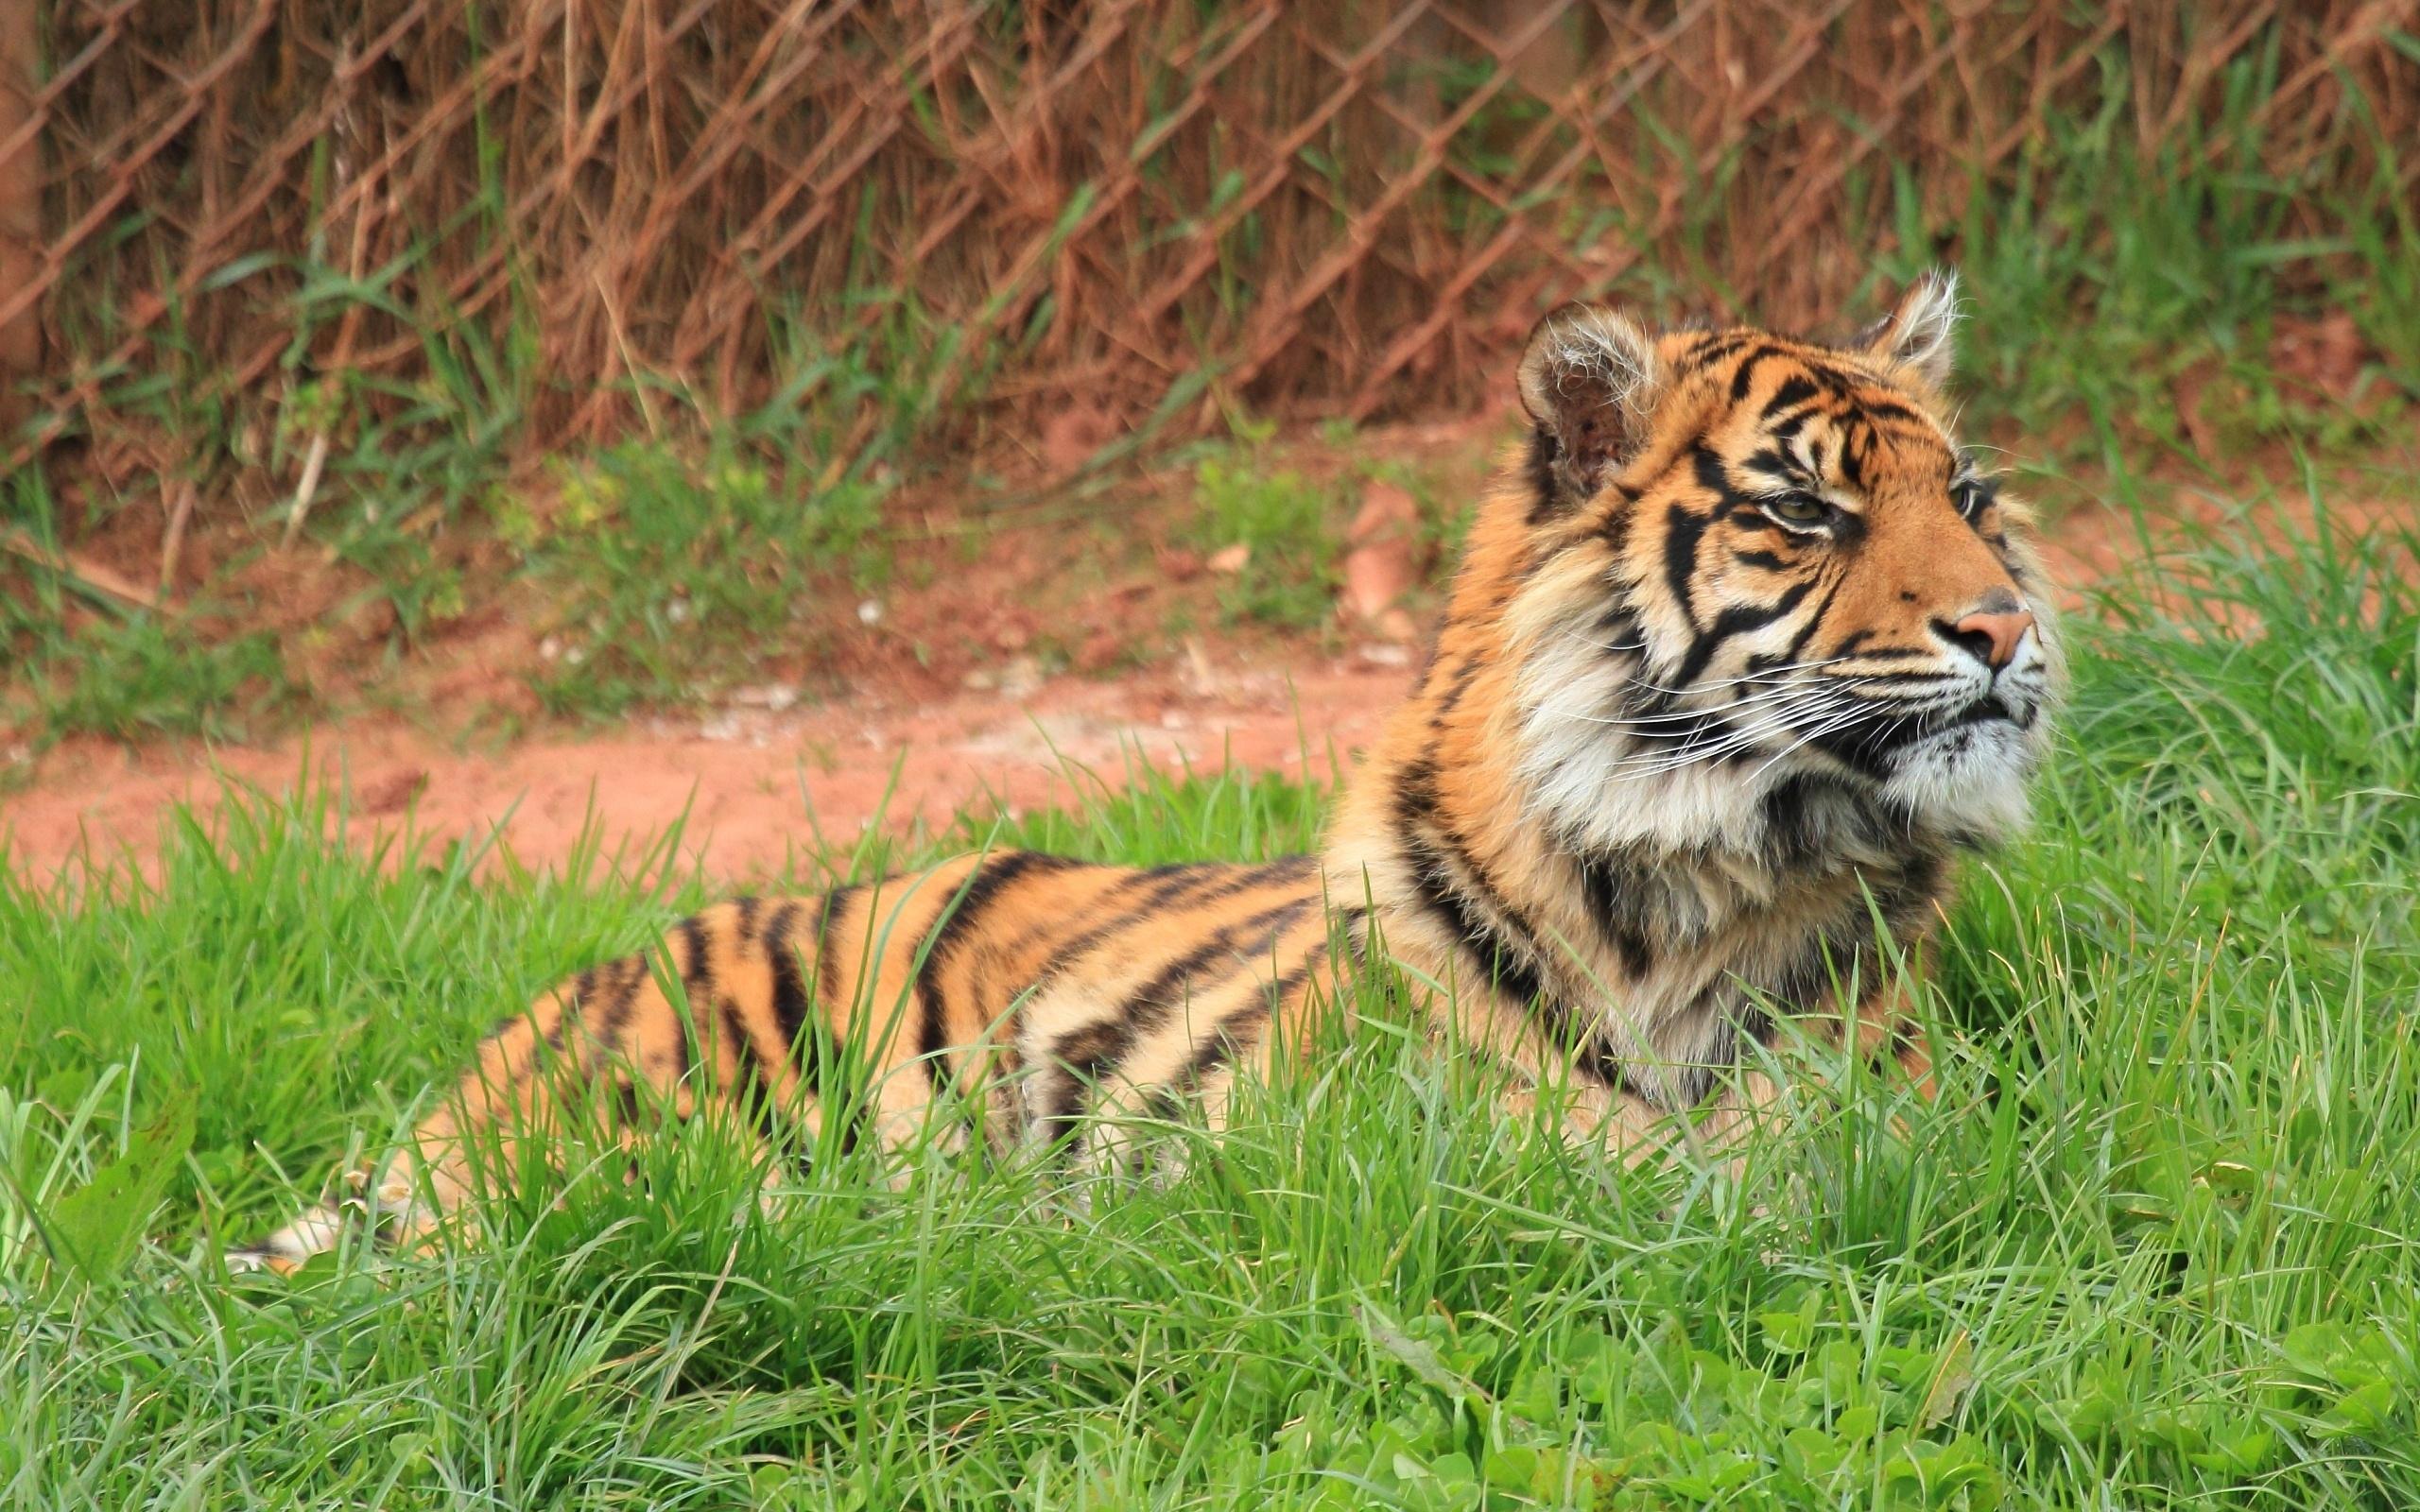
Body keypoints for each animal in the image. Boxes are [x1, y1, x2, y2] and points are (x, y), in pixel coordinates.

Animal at [231, 274, 2062, 1277]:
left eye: (1969, 495)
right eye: (1804, 512)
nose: (2003, 623)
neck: (1697, 873)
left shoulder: (1885, 1115)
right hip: (637, 1139)